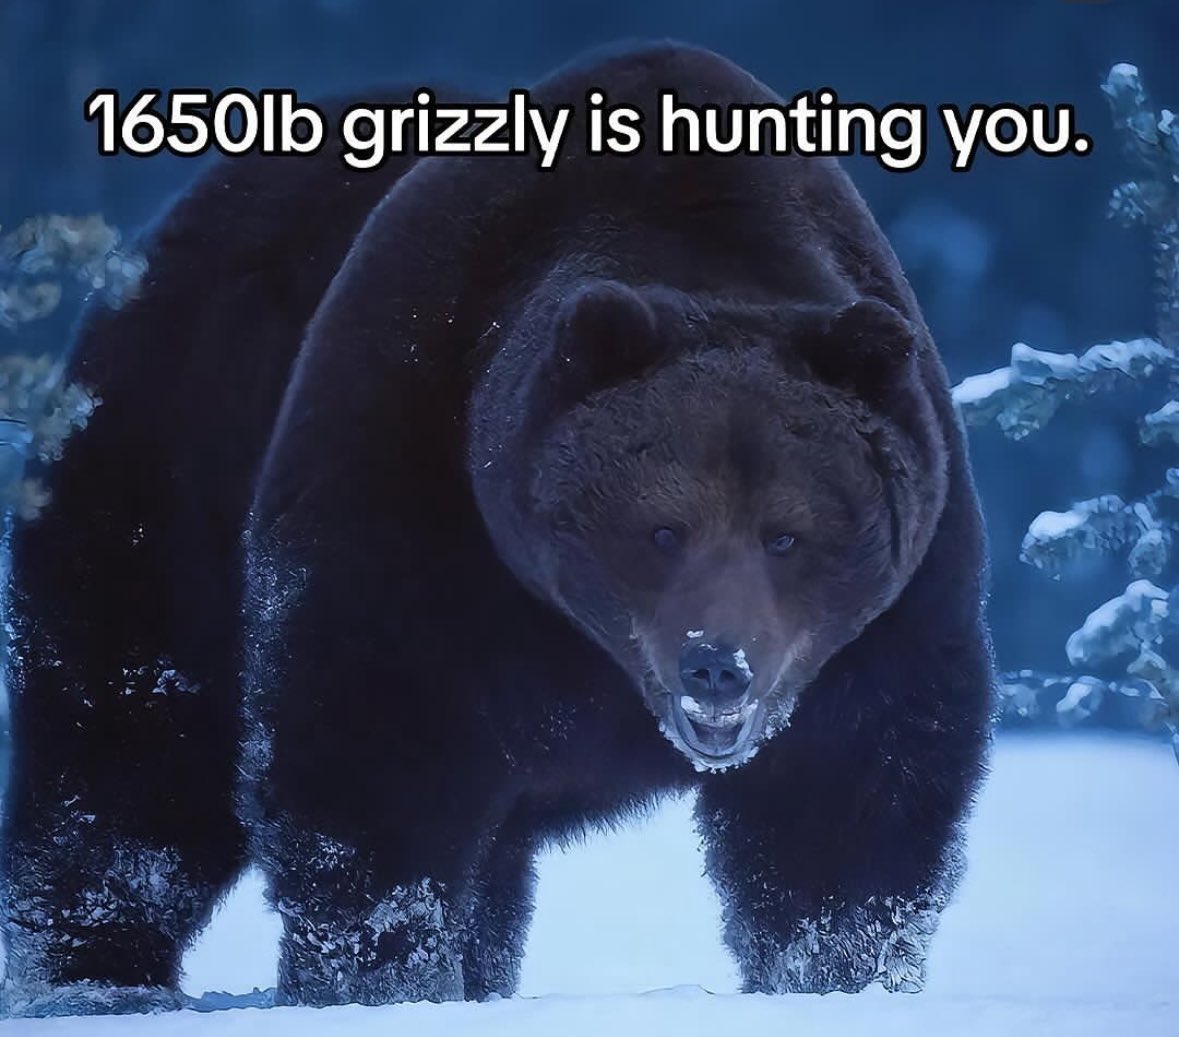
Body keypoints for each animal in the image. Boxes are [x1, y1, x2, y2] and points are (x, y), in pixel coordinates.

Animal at [0, 42, 993, 1016]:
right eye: (662, 529)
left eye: (785, 533)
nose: (717, 664)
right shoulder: (414, 478)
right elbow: (370, 752)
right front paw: (384, 980)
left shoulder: (888, 606)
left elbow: (850, 800)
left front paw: (838, 977)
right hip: (173, 460)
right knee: (131, 750)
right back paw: (95, 977)